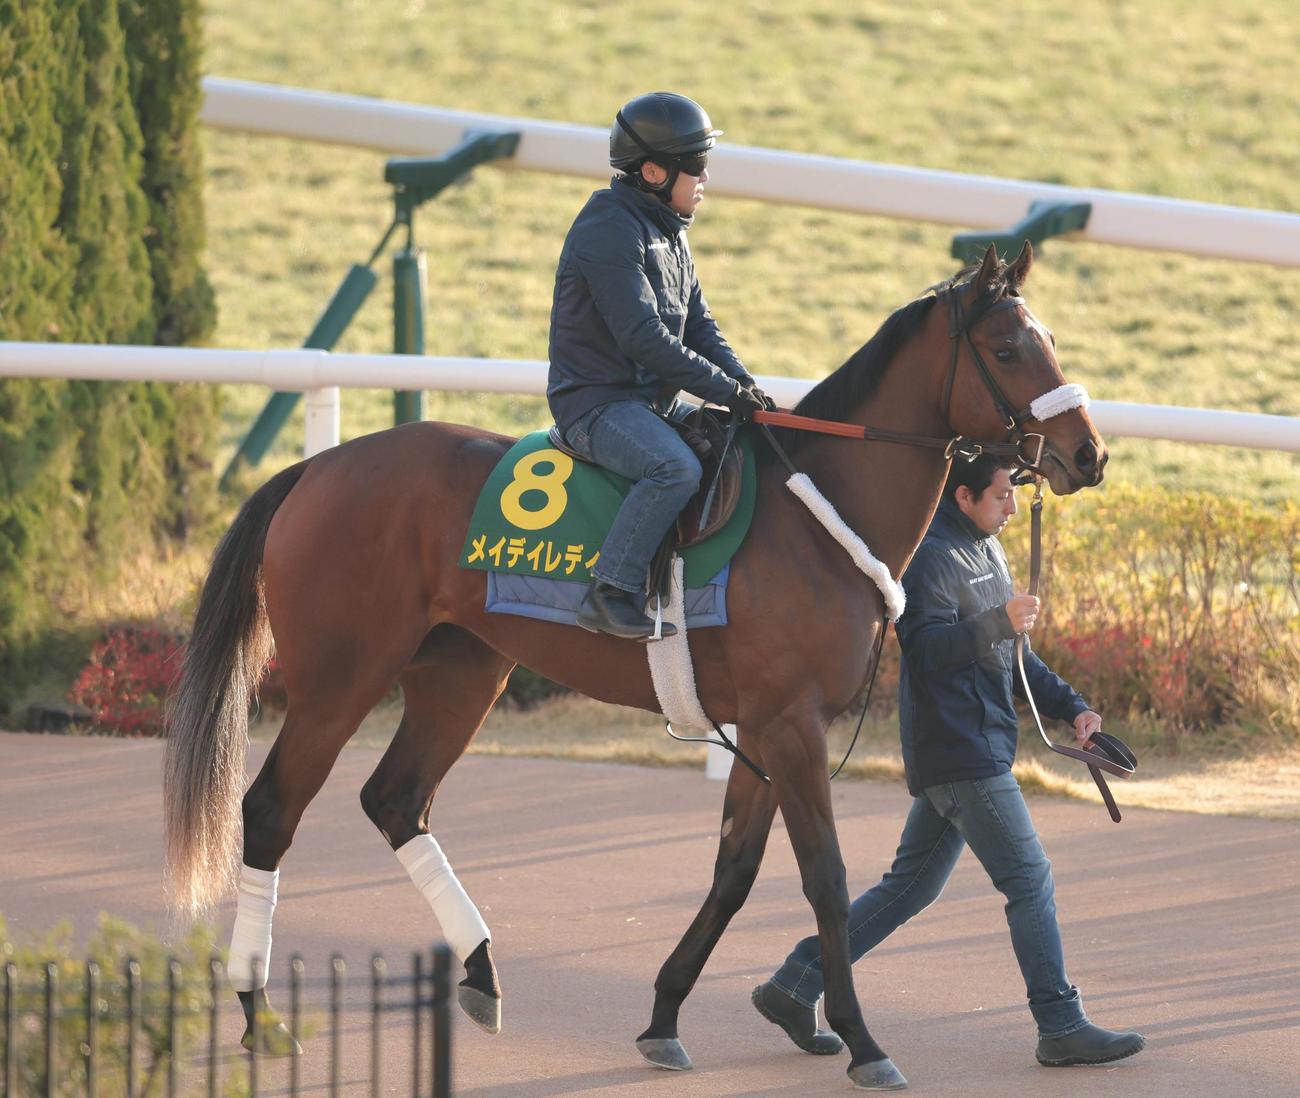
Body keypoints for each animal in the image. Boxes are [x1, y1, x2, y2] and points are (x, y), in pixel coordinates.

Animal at [164, 242, 1106, 1089]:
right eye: (1009, 348)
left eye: (1052, 336)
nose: (1089, 453)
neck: (818, 509)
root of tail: (315, 468)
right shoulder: (791, 724)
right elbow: (826, 879)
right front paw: (863, 1041)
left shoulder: (760, 727)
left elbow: (733, 873)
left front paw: (663, 1018)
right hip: (342, 677)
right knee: (271, 811)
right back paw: (260, 1012)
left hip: (462, 670)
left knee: (396, 798)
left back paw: (479, 971)